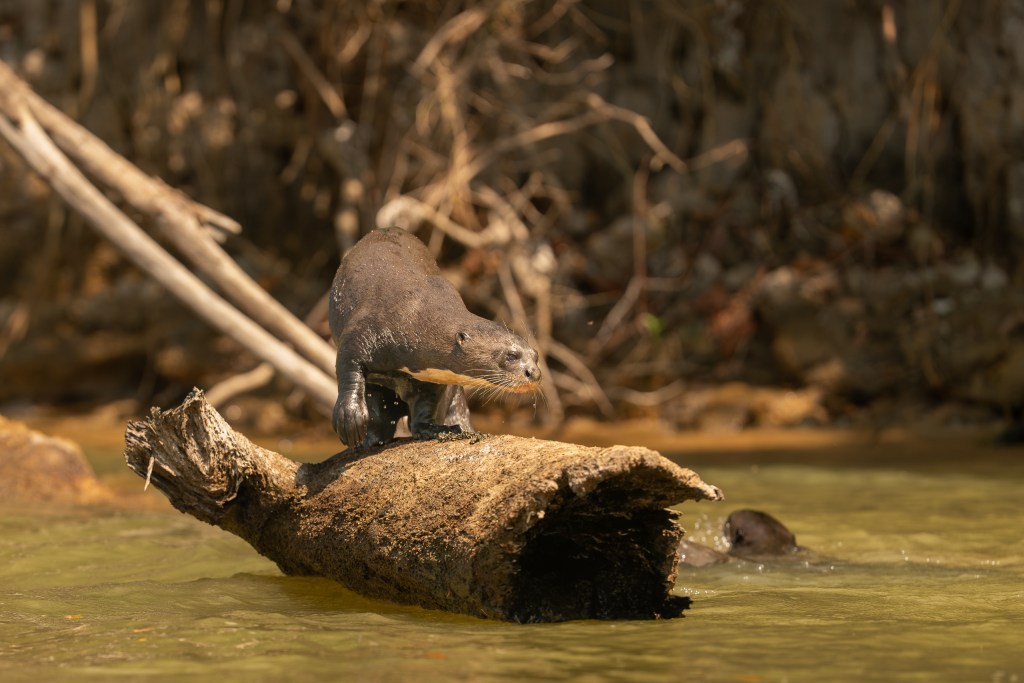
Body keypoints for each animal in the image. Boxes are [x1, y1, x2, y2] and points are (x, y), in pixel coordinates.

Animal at [329, 227, 542, 448]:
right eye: (511, 356)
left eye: (535, 356)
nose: (534, 373)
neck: (411, 316)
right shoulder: (361, 331)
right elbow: (348, 369)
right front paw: (350, 418)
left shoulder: (434, 378)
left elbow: (427, 401)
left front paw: (432, 429)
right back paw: (369, 440)